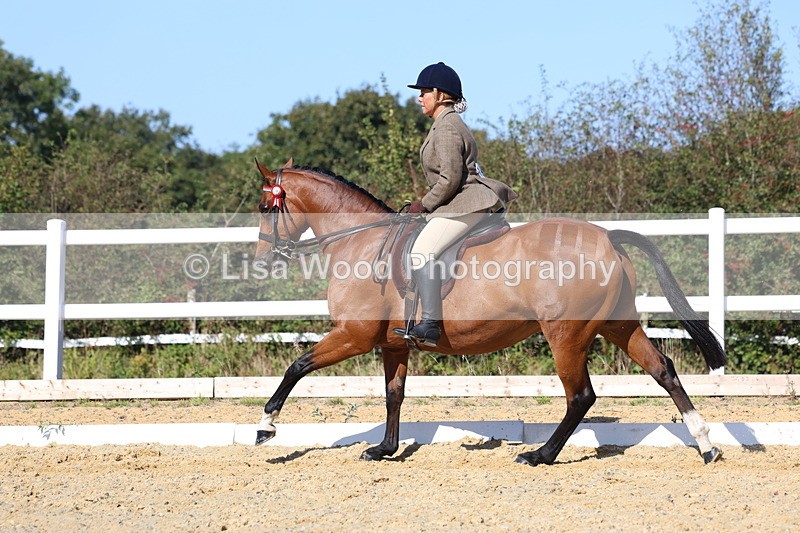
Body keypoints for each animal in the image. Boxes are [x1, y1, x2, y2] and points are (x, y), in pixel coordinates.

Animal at [252, 159, 727, 466]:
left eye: (263, 208)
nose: (263, 260)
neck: (359, 241)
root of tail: (607, 237)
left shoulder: (354, 335)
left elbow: (297, 367)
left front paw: (265, 427)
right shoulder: (391, 344)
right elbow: (393, 394)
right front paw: (385, 450)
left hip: (566, 335)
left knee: (581, 396)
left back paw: (540, 455)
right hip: (618, 325)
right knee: (662, 370)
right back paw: (706, 444)